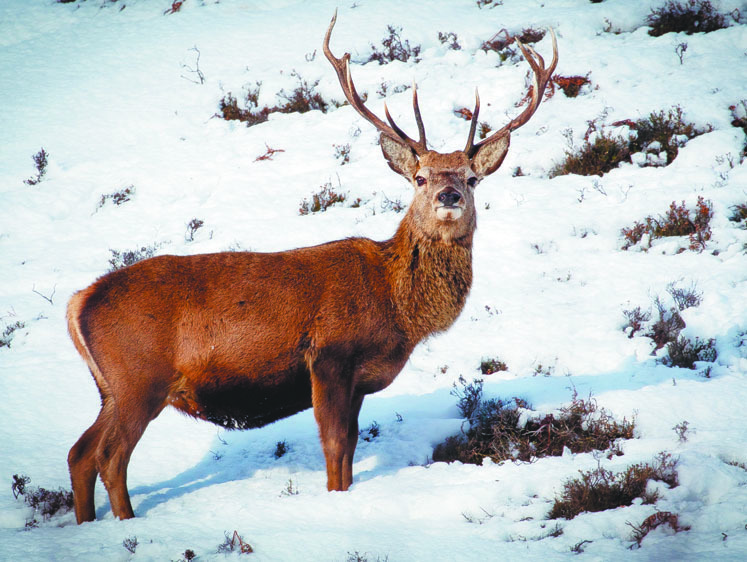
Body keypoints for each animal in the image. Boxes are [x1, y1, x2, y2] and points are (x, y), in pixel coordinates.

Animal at [65, 12, 556, 520]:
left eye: (472, 178)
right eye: (419, 178)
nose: (449, 195)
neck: (396, 307)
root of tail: (79, 302)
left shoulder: (359, 381)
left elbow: (352, 448)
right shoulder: (329, 356)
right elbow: (335, 447)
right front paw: (335, 501)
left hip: (112, 388)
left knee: (79, 452)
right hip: (139, 377)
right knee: (110, 455)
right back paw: (125, 523)